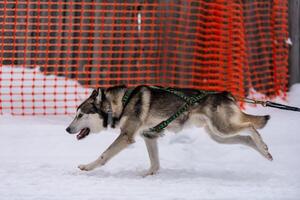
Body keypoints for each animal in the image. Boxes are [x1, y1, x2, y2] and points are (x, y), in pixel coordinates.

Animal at [67, 85, 274, 176]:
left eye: (80, 115)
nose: (67, 129)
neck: (122, 104)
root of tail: (226, 94)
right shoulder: (149, 136)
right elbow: (155, 163)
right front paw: (148, 175)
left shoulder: (126, 137)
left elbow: (104, 155)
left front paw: (87, 166)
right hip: (218, 135)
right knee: (246, 139)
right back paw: (264, 151)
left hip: (222, 128)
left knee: (251, 126)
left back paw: (263, 146)